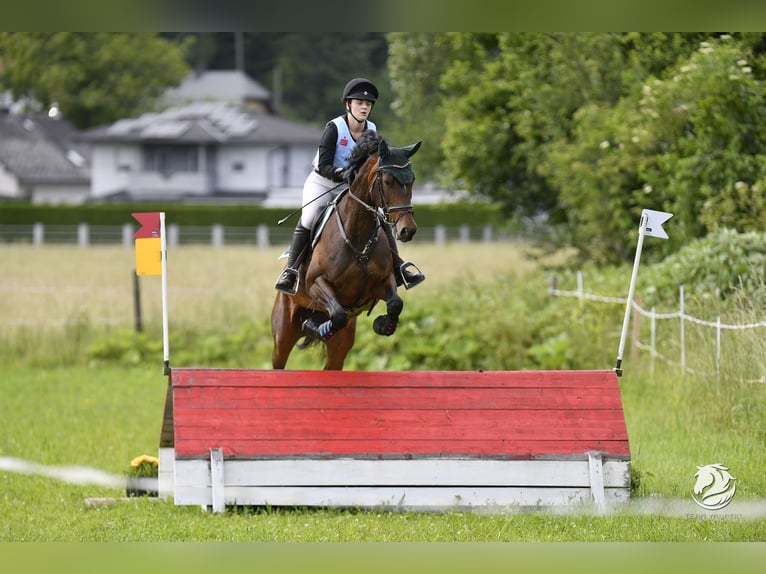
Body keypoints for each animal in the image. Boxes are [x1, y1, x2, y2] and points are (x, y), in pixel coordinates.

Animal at [272, 131, 424, 372]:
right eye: (388, 181)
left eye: (412, 180)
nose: (407, 230)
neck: (357, 238)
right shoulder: (315, 283)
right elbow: (338, 313)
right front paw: (319, 326)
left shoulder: (384, 281)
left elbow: (395, 303)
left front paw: (383, 325)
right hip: (283, 334)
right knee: (279, 360)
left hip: (340, 347)